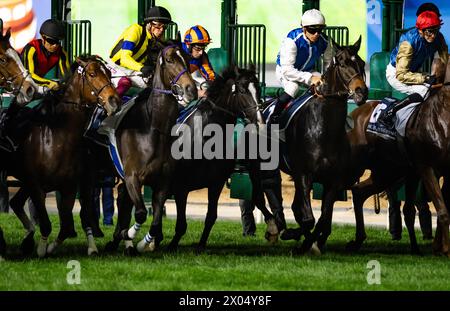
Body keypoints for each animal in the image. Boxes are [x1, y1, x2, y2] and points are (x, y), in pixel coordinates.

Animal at [2, 56, 121, 258]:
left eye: (109, 73)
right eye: (92, 74)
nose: (114, 101)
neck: (57, 137)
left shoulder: (69, 186)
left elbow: (65, 225)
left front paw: (50, 247)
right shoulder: (36, 185)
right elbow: (46, 222)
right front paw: (42, 249)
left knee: (16, 202)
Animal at [109, 43, 197, 254]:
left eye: (187, 58)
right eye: (170, 60)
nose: (191, 89)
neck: (153, 129)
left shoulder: (163, 182)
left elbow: (156, 222)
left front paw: (143, 243)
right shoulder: (132, 176)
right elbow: (141, 212)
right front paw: (128, 235)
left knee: (122, 197)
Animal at [284, 37, 368, 255]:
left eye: (362, 63)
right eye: (342, 63)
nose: (362, 91)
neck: (323, 131)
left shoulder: (334, 181)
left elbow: (323, 219)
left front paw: (311, 243)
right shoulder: (304, 175)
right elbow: (309, 218)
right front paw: (295, 237)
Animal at [348, 58, 450, 258]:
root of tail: (356, 112)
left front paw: (439, 247)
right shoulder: (427, 168)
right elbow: (442, 210)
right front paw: (445, 249)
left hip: (388, 172)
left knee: (358, 192)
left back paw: (359, 240)